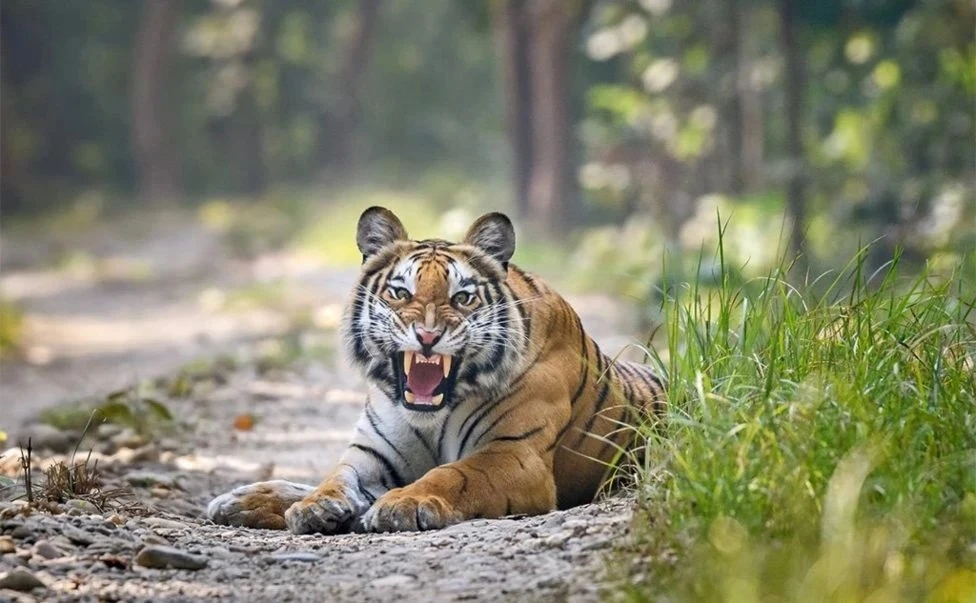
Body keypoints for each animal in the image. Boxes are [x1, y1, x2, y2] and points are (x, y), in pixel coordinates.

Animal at [206, 206, 665, 533]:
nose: (427, 335)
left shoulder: (514, 453)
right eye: (399, 292)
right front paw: (316, 506)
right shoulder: (373, 453)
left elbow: (453, 474)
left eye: (462, 297)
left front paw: (402, 504)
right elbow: (336, 477)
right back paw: (240, 500)